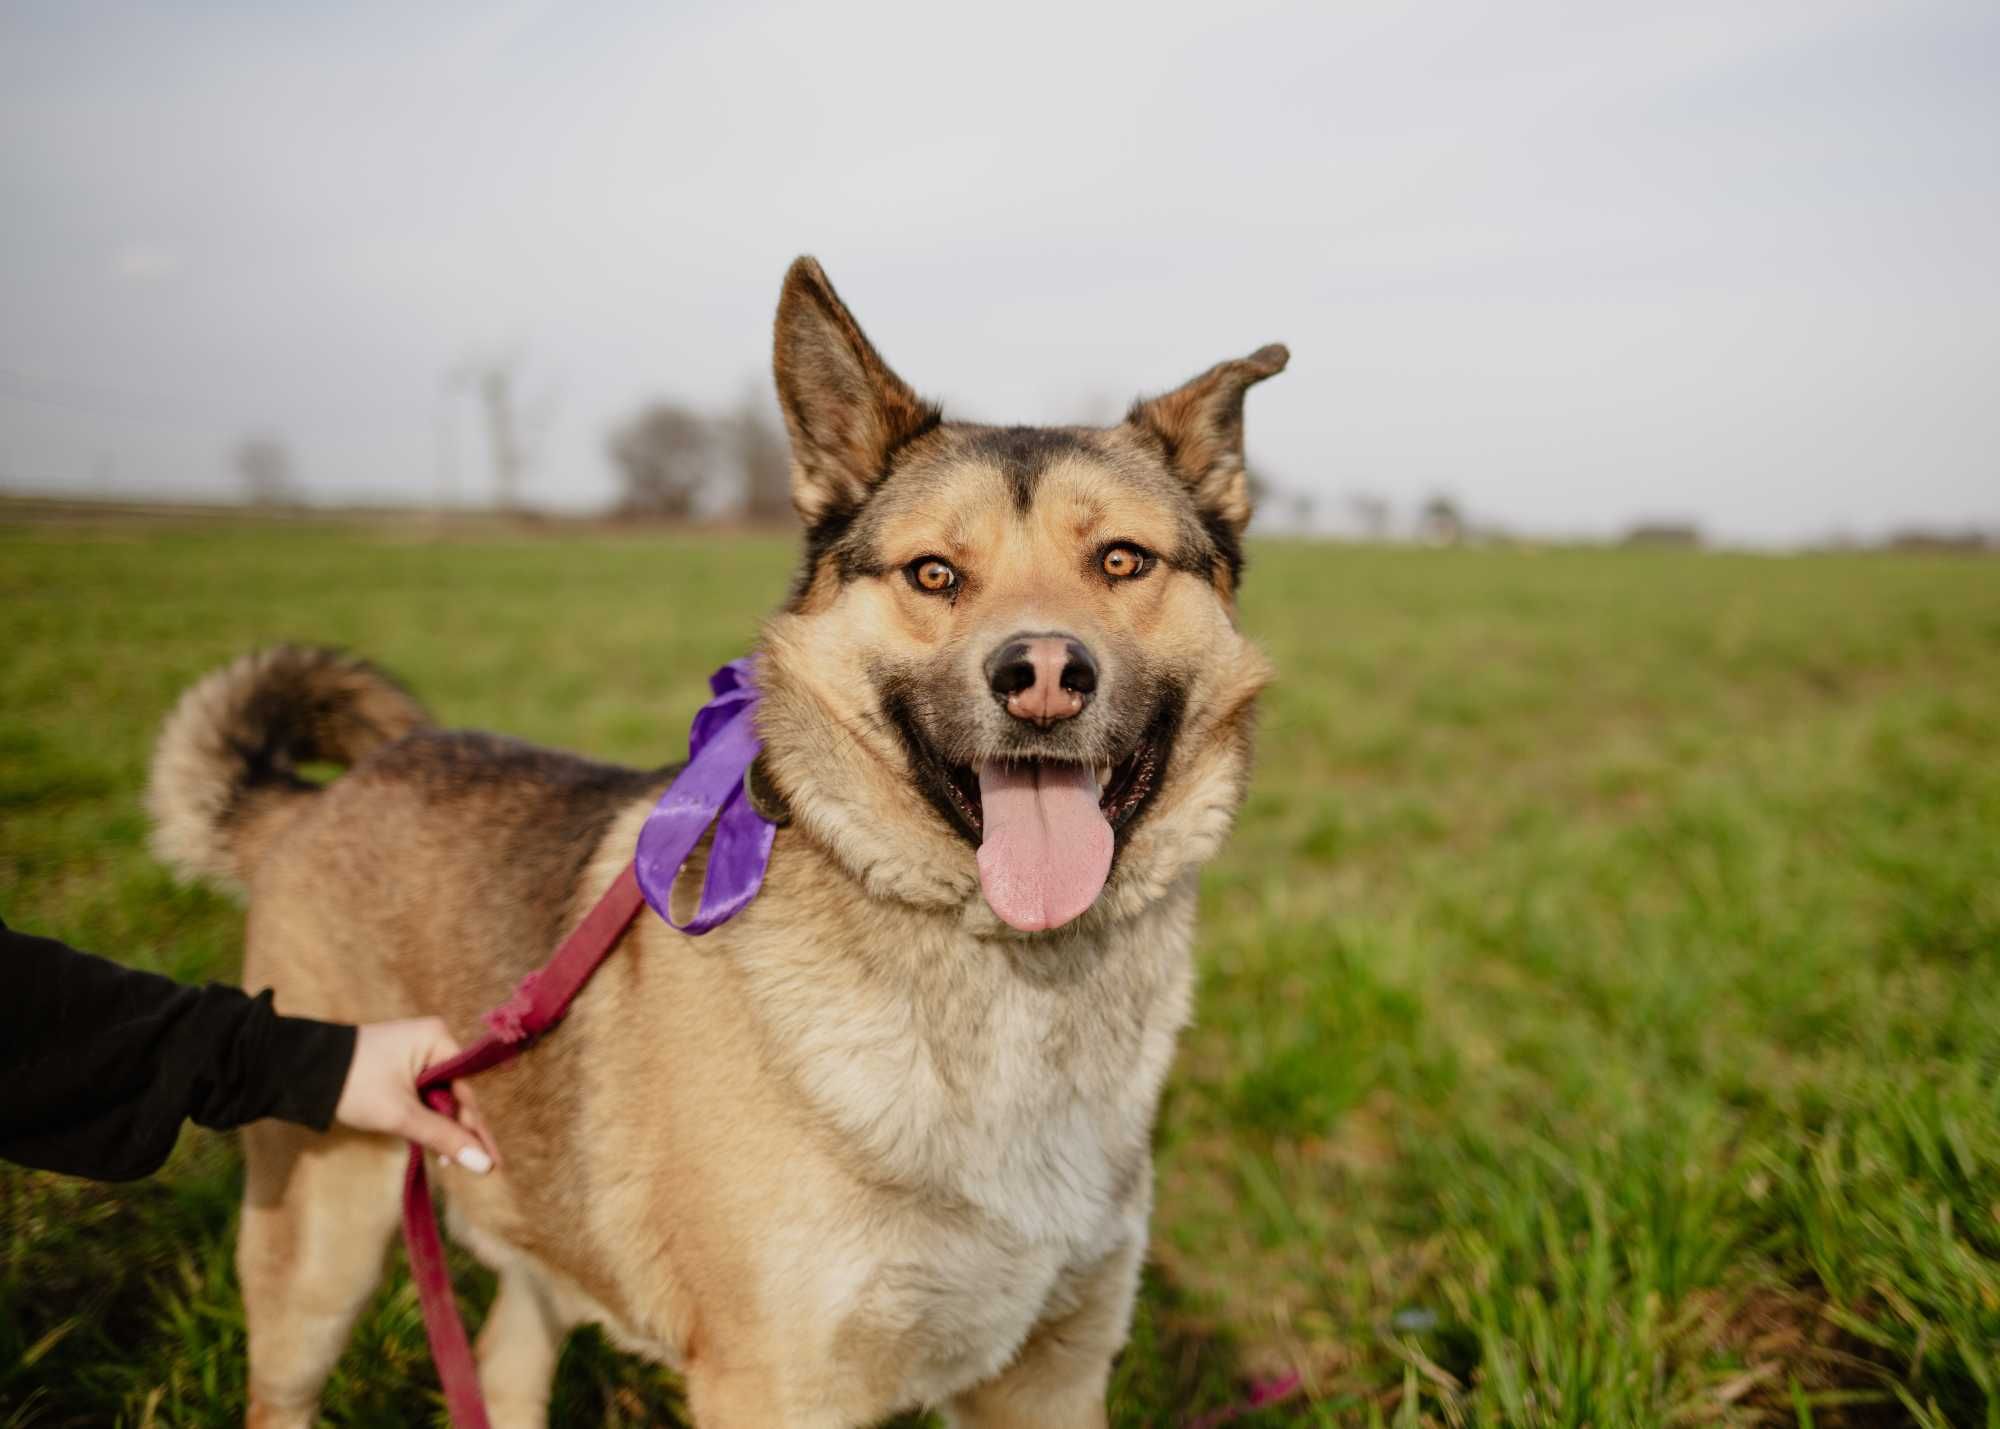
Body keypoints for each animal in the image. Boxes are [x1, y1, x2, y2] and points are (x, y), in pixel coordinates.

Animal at [152, 258, 1280, 1424]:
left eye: (1121, 561)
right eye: (932, 575)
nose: (1045, 673)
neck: (1008, 966)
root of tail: (310, 803)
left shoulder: (1054, 1372)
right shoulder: (774, 1383)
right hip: (322, 1241)